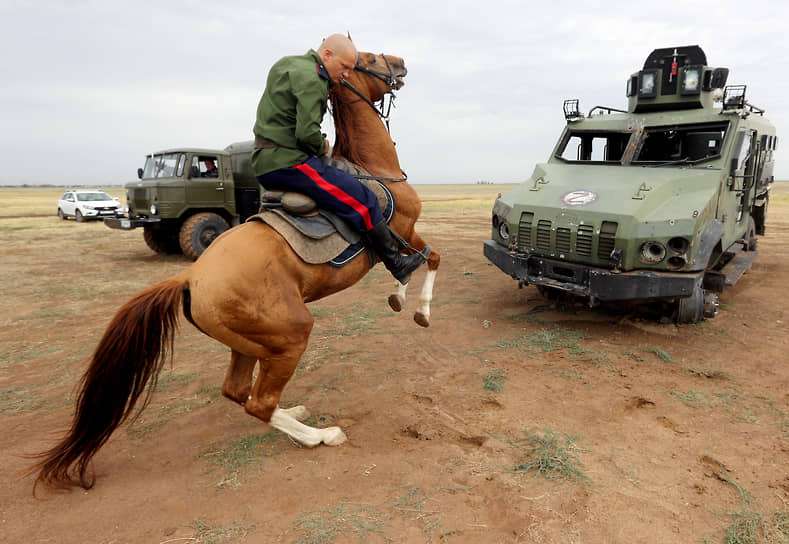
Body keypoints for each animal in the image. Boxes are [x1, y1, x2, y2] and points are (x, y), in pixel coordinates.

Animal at [32, 51, 438, 490]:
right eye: (370, 58)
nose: (400, 63)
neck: (371, 168)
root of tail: (189, 276)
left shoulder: (404, 235)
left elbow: (418, 262)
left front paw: (399, 297)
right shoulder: (403, 231)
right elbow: (428, 258)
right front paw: (418, 307)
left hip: (250, 344)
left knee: (239, 392)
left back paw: (293, 414)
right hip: (291, 336)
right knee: (258, 402)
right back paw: (321, 435)